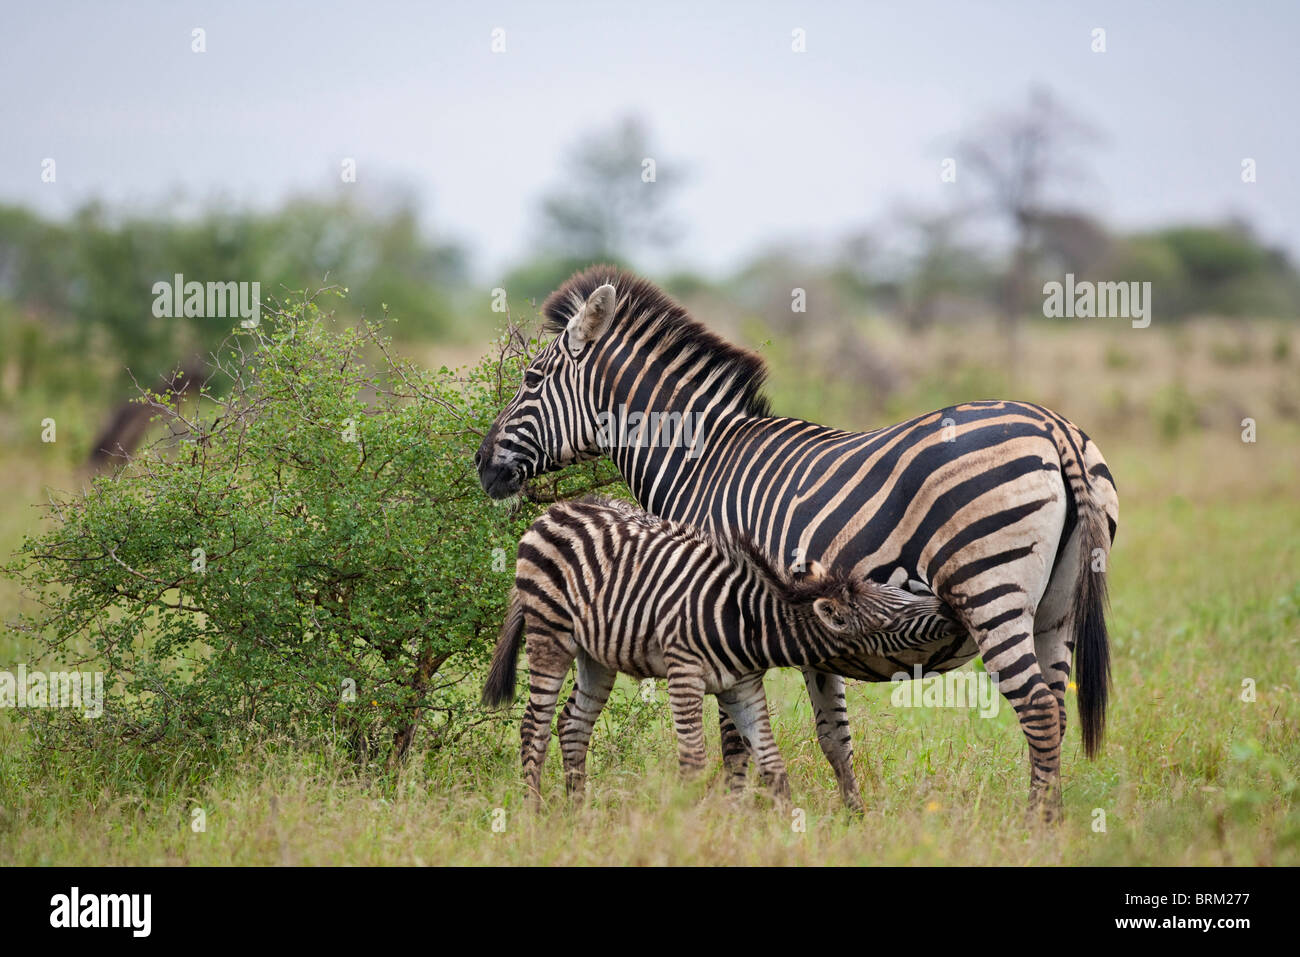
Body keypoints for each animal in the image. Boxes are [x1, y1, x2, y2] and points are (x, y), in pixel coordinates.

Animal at [483, 496, 961, 806]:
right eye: (892, 622)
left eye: (899, 594)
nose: (947, 606)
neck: (746, 624)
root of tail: (553, 511)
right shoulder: (684, 674)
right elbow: (694, 761)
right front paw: (686, 825)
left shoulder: (742, 686)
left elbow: (772, 765)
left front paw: (787, 833)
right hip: (550, 634)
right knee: (534, 726)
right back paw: (534, 814)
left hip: (597, 654)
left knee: (573, 723)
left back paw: (579, 814)